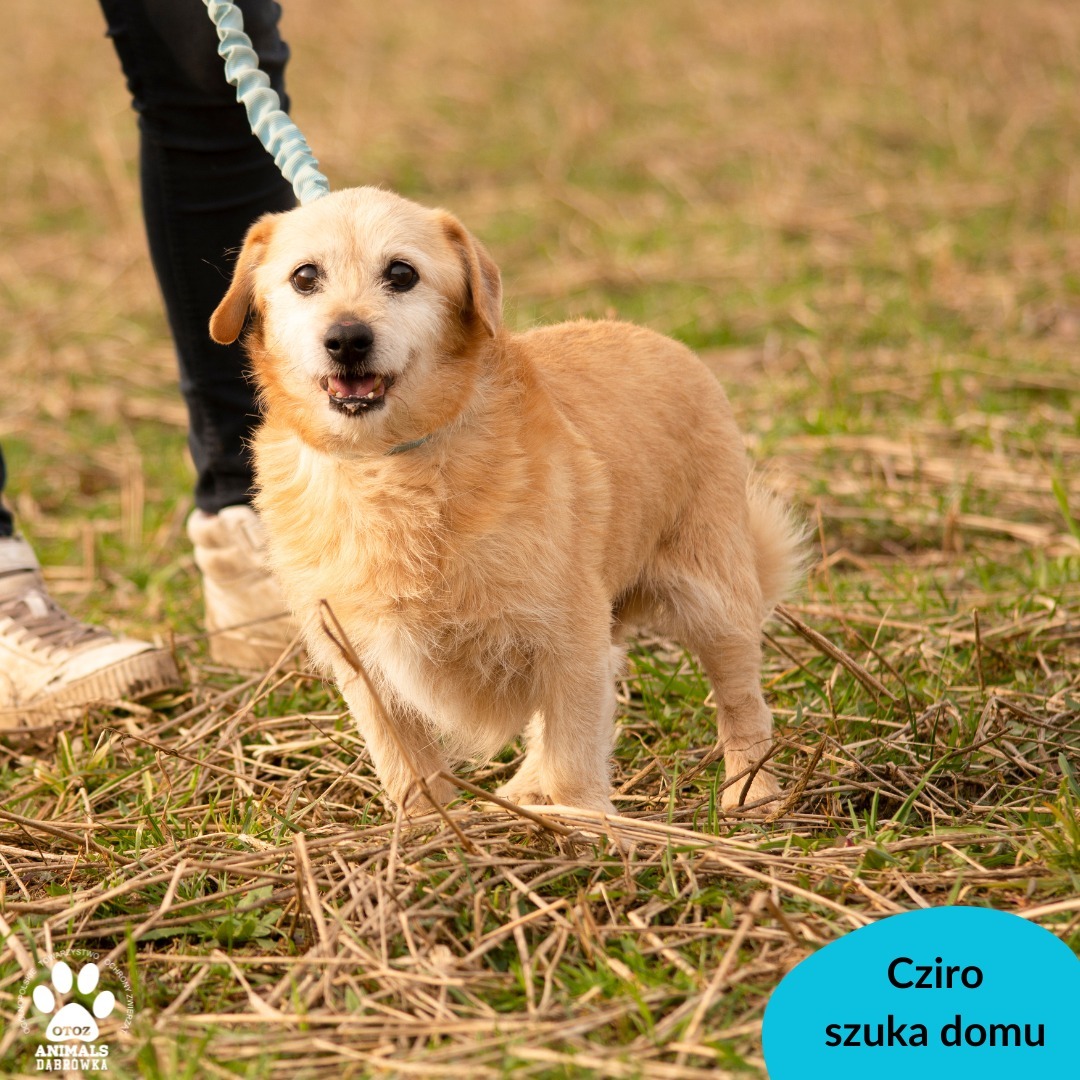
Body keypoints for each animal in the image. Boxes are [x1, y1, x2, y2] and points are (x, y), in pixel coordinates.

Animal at [208, 185, 803, 816]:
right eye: (304, 276)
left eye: (401, 273)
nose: (346, 338)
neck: (386, 465)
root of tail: (663, 341)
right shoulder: (362, 661)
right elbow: (409, 768)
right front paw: (428, 833)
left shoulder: (569, 633)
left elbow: (575, 759)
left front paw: (585, 828)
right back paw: (525, 791)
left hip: (715, 602)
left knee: (741, 703)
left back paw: (752, 793)